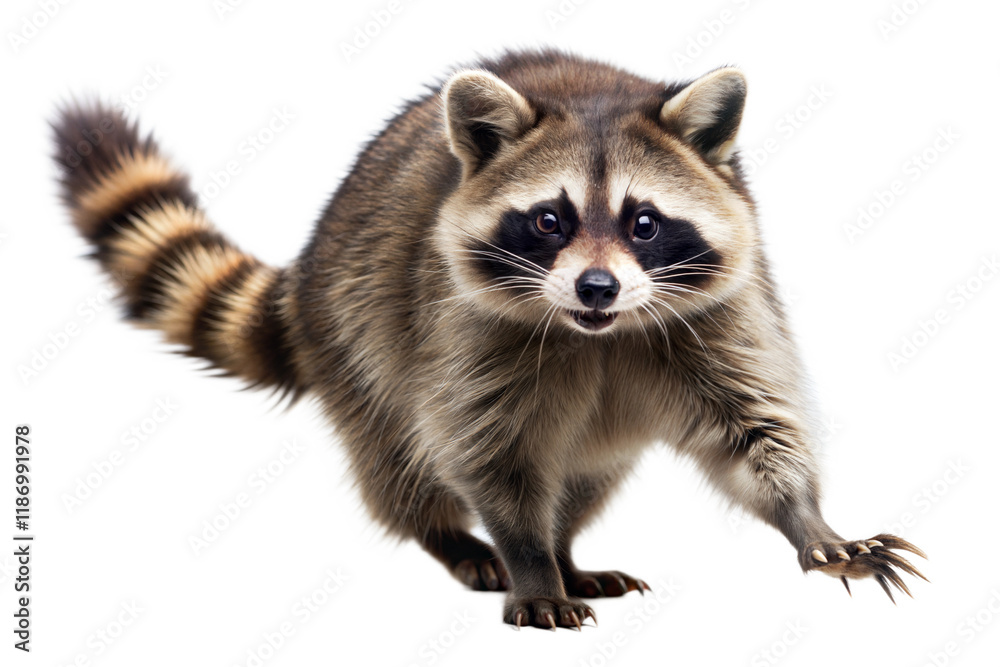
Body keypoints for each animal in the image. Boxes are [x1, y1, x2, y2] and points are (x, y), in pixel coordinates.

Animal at [52, 49, 926, 629]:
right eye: (549, 221)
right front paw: (528, 563)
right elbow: (487, 452)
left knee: (585, 475)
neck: (597, 333)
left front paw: (810, 520)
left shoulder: (723, 313)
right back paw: (460, 540)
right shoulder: (459, 333)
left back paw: (569, 550)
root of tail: (306, 269)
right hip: (354, 332)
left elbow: (755, 426)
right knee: (397, 456)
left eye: (644, 222)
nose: (597, 286)